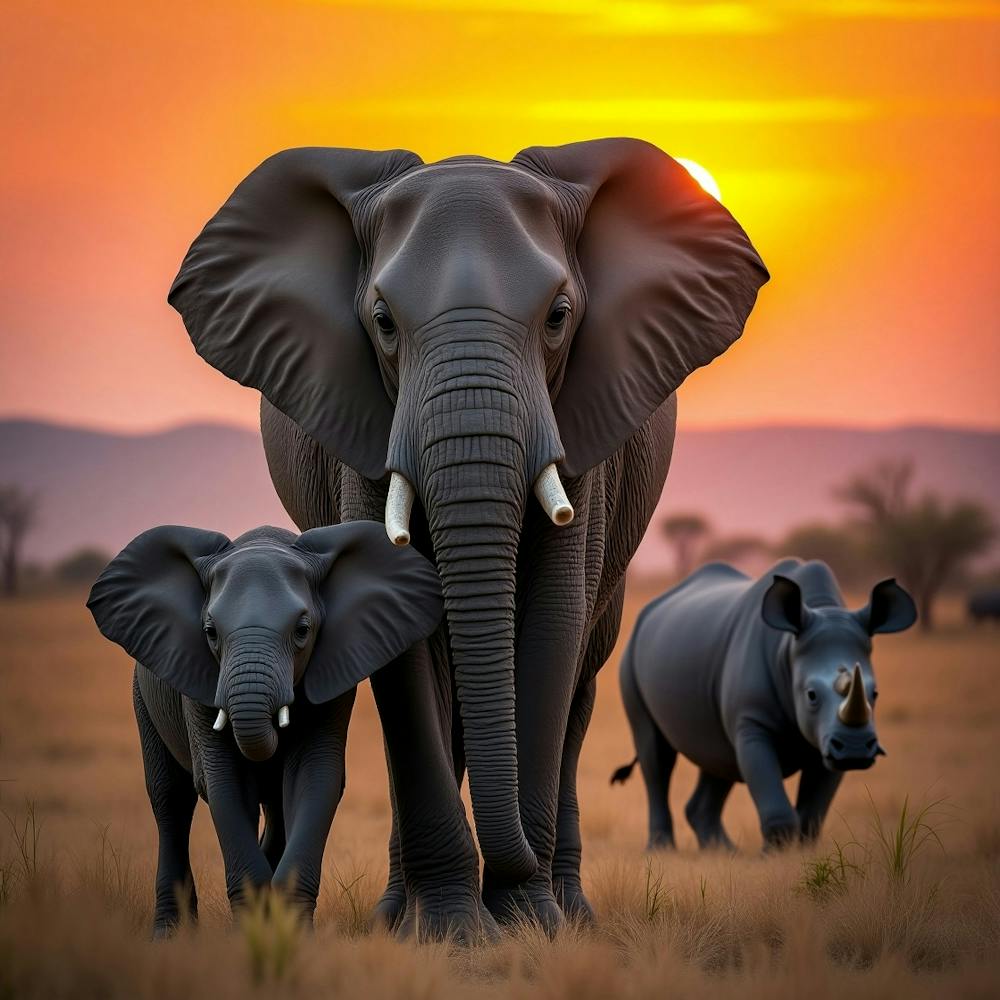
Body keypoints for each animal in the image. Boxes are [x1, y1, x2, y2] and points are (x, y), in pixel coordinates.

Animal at [87, 522, 443, 936]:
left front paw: (293, 933)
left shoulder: (333, 680)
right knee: (170, 800)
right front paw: (252, 932)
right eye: (210, 632)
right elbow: (225, 783)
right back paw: (169, 935)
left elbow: (312, 777)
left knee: (274, 806)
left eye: (303, 630)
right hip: (142, 698)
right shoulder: (201, 683)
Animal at [168, 138, 768, 934]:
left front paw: (528, 923)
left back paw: (569, 911)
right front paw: (455, 932)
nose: (509, 868)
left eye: (559, 316)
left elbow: (554, 621)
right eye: (383, 321)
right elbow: (404, 639)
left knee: (581, 682)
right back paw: (400, 916)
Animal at [611, 559, 917, 850]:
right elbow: (772, 797)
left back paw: (724, 852)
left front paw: (799, 855)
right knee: (656, 755)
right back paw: (662, 850)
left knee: (718, 757)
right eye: (811, 695)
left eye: (875, 693)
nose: (855, 748)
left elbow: (812, 813)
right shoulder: (753, 722)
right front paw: (773, 856)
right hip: (630, 657)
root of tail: (651, 608)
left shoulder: (829, 740)